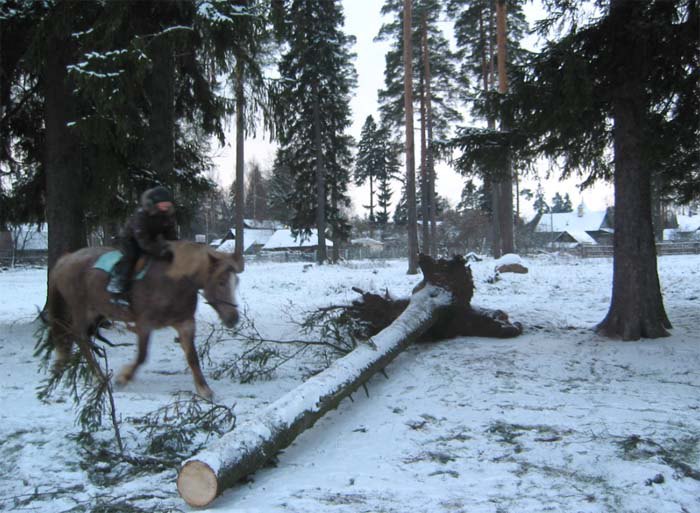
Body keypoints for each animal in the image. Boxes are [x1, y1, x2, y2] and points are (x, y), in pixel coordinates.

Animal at [46, 238, 243, 398]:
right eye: (221, 282)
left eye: (236, 283)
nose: (233, 318)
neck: (173, 281)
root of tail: (66, 259)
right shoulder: (144, 325)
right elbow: (141, 356)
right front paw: (123, 378)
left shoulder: (185, 323)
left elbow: (193, 357)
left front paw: (204, 389)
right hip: (80, 308)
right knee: (79, 337)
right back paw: (99, 377)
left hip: (93, 311)